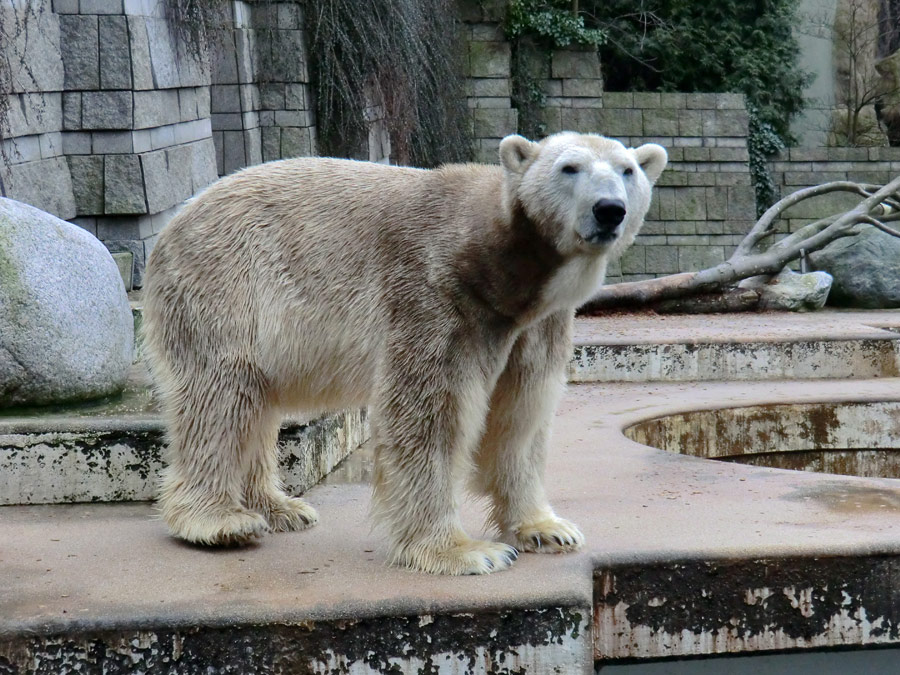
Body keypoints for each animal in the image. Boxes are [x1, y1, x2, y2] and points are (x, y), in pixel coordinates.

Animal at [144, 132, 664, 576]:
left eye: (628, 170)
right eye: (569, 167)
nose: (609, 210)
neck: (499, 266)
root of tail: (176, 221)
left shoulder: (537, 324)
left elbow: (522, 413)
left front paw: (547, 529)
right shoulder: (434, 294)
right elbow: (430, 412)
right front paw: (465, 551)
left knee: (254, 402)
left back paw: (280, 507)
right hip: (226, 284)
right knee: (221, 395)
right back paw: (221, 522)